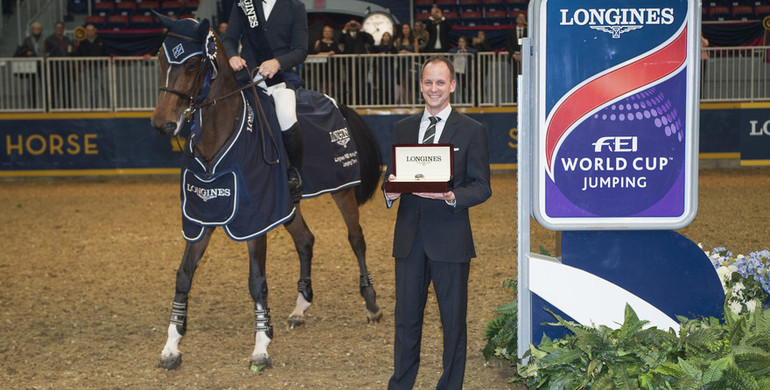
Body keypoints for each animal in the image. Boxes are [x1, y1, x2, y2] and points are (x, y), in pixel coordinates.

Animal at [148, 15, 382, 370]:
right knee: (305, 240)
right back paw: (300, 308)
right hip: (288, 205)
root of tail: (337, 103)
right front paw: (171, 346)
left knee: (356, 239)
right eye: (161, 60)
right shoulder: (202, 217)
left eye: (191, 65)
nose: (162, 124)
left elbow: (257, 282)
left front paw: (261, 348)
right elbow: (184, 276)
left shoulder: (256, 221)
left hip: (342, 192)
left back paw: (371, 304)